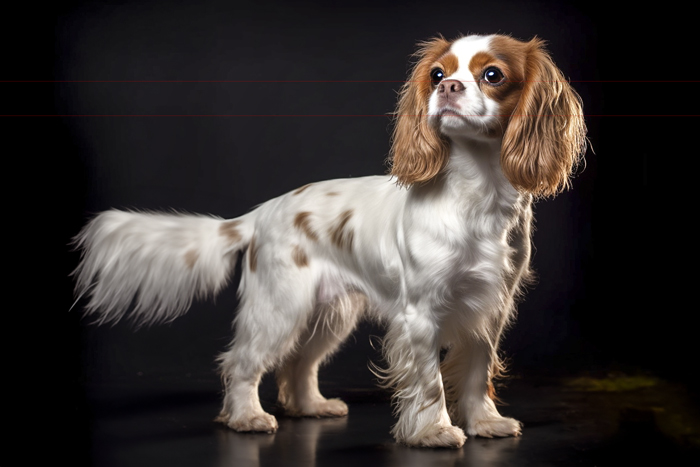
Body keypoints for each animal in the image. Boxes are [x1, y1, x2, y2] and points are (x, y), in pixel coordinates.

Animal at [72, 33, 584, 450]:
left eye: (493, 74)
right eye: (437, 73)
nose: (447, 87)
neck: (476, 192)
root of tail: (260, 213)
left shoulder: (489, 311)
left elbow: (477, 374)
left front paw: (484, 423)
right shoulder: (421, 315)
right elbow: (431, 382)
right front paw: (433, 431)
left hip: (327, 316)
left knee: (299, 365)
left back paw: (311, 407)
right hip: (280, 307)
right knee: (243, 362)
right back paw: (246, 417)